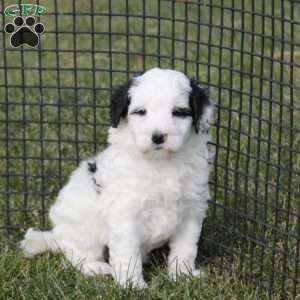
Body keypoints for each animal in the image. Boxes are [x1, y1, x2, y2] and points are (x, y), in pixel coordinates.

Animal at [20, 68, 213, 288]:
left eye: (178, 112)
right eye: (141, 112)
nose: (157, 137)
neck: (161, 163)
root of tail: (57, 236)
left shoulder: (191, 211)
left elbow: (185, 247)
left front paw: (183, 275)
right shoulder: (125, 215)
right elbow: (127, 254)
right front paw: (133, 286)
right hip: (82, 227)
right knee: (78, 255)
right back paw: (97, 268)